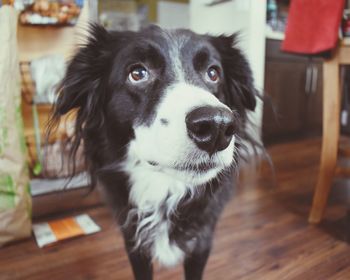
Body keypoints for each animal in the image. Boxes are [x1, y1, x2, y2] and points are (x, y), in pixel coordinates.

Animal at [50, 24, 258, 280]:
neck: (164, 187)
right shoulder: (134, 242)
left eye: (213, 73)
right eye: (138, 73)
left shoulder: (201, 243)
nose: (217, 126)